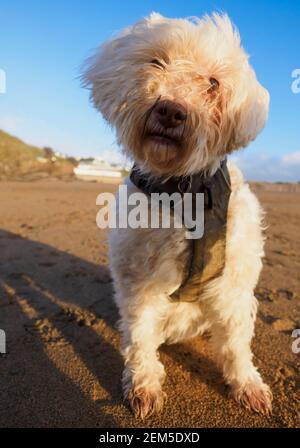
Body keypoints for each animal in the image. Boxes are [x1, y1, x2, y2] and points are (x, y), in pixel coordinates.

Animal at [82, 14, 272, 420]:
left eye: (213, 83)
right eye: (156, 62)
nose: (170, 110)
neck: (185, 188)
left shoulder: (233, 284)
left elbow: (236, 343)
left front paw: (247, 384)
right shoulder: (139, 280)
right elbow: (139, 336)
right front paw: (143, 383)